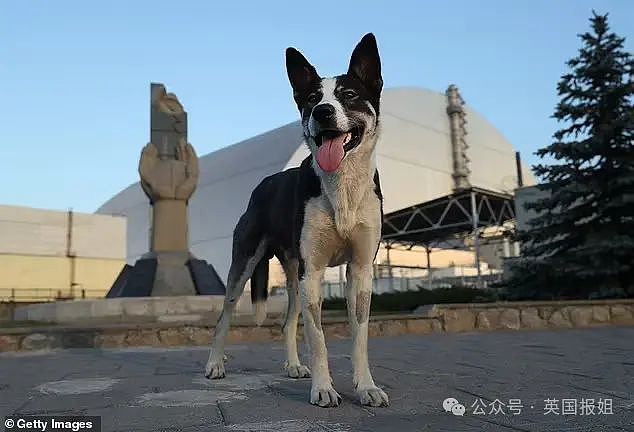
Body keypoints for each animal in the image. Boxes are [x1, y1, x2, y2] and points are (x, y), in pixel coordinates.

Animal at [205, 33, 388, 408]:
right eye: (312, 99)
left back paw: (292, 365)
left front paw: (366, 387)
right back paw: (215, 364)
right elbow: (318, 339)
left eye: (349, 95)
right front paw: (323, 388)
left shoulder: (360, 270)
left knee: (288, 321)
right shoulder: (313, 271)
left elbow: (359, 336)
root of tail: (263, 184)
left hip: (292, 276)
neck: (342, 186)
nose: (322, 112)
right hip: (246, 265)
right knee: (224, 316)